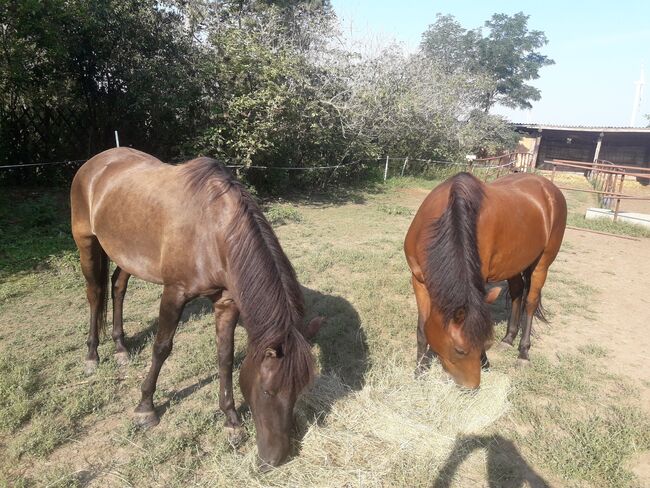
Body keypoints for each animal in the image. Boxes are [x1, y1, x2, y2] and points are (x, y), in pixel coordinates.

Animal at [70, 147, 322, 468]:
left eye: (300, 389)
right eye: (268, 390)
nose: (274, 458)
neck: (212, 230)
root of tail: (96, 162)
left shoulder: (226, 302)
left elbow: (225, 357)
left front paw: (231, 421)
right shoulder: (174, 293)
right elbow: (161, 348)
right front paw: (145, 408)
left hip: (126, 253)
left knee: (117, 287)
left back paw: (120, 349)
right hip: (86, 242)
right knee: (94, 294)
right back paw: (92, 355)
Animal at [402, 172, 564, 388]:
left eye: (485, 345)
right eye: (460, 350)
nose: (472, 388)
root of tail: (549, 187)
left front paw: (485, 363)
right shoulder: (418, 280)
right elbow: (422, 330)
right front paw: (419, 372)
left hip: (543, 262)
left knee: (530, 302)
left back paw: (523, 353)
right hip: (513, 264)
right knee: (517, 292)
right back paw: (508, 339)